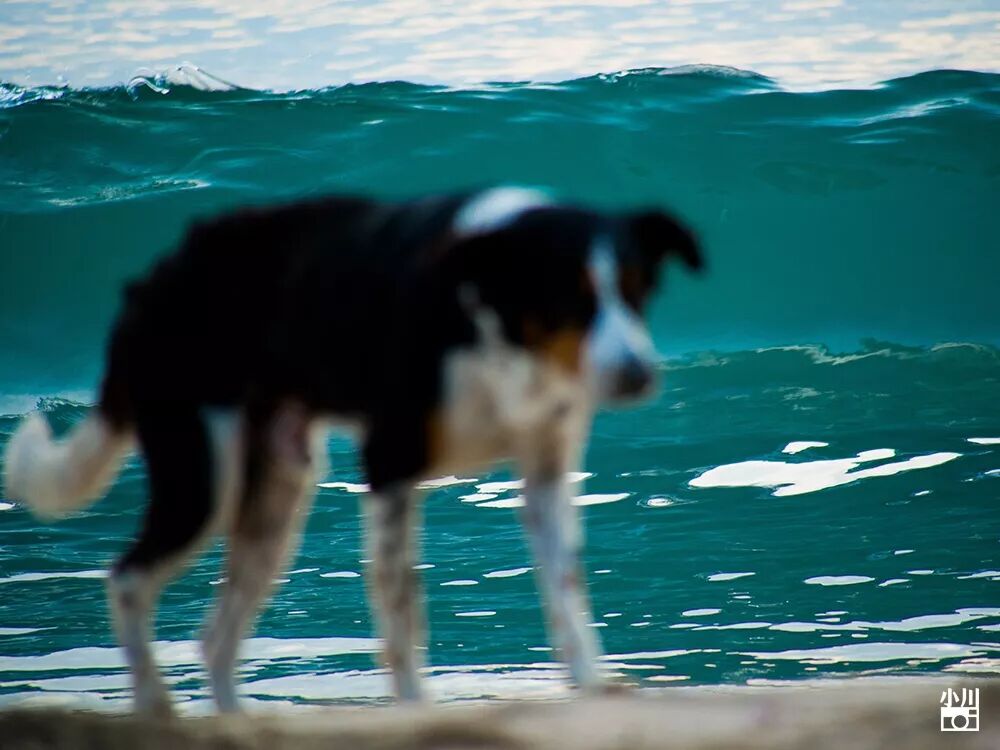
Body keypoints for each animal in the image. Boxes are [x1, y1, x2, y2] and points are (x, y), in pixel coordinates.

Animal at [4, 187, 701, 715]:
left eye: (638, 292)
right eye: (570, 298)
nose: (639, 374)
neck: (495, 331)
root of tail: (154, 279)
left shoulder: (547, 478)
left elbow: (567, 593)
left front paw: (591, 685)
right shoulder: (390, 466)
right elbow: (403, 614)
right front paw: (415, 709)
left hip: (277, 496)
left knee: (215, 636)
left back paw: (234, 721)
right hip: (206, 477)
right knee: (128, 579)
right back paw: (156, 709)